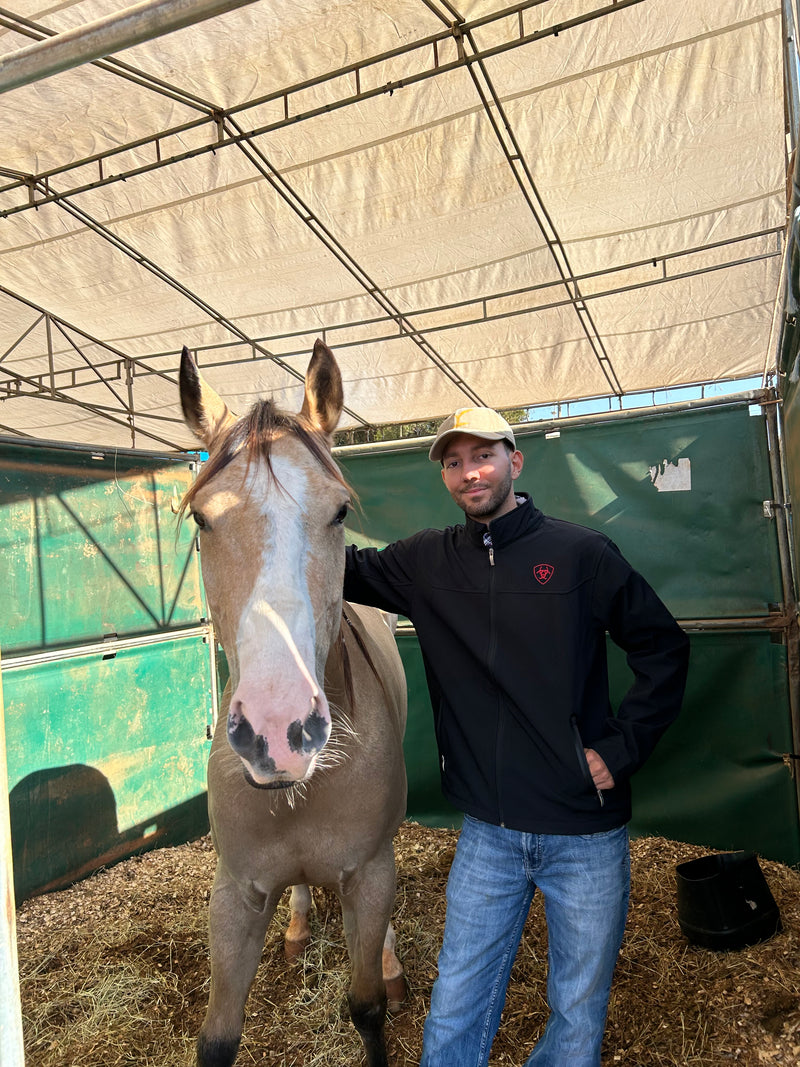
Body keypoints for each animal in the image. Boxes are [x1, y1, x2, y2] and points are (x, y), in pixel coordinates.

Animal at [179, 339, 409, 1067]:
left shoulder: (370, 873)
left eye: (339, 510)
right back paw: (300, 927)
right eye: (202, 517)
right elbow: (217, 1039)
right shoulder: (235, 893)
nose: (278, 730)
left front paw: (382, 981)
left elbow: (366, 1006)